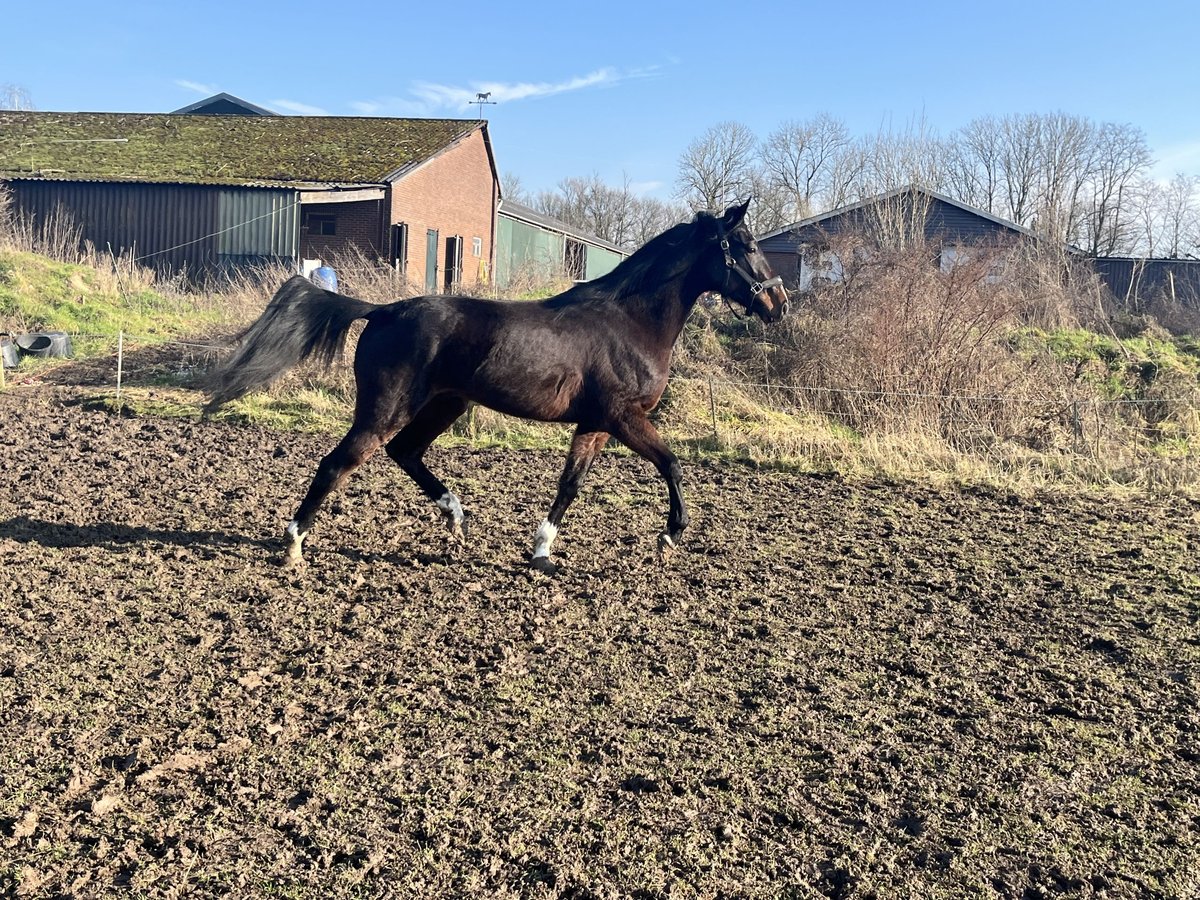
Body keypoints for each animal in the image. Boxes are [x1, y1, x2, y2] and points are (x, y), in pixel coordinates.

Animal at [206, 201, 787, 573]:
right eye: (744, 245)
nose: (778, 304)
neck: (630, 322)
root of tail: (383, 311)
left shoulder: (594, 424)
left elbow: (570, 485)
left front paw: (542, 553)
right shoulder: (624, 417)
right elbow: (672, 464)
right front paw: (669, 537)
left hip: (443, 405)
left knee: (404, 452)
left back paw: (455, 516)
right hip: (387, 408)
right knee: (338, 463)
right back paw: (293, 546)